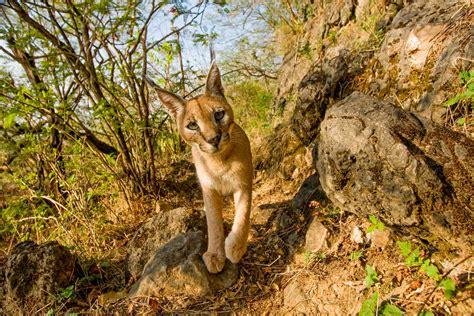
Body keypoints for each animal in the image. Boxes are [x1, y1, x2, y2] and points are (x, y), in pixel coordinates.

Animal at [154, 60, 254, 272]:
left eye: (219, 115)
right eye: (192, 125)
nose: (213, 139)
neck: (218, 161)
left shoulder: (243, 183)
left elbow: (243, 214)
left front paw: (235, 247)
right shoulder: (209, 189)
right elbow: (213, 221)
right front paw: (215, 254)